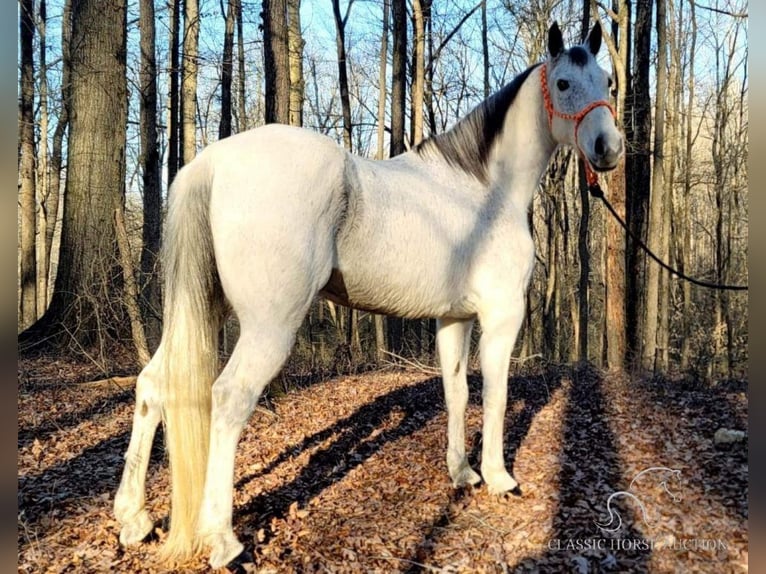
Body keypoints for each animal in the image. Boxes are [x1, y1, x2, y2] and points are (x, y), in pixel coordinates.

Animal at [117, 20, 628, 568]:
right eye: (563, 83)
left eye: (607, 82)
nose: (608, 148)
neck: (484, 191)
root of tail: (212, 162)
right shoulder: (500, 316)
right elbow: (495, 392)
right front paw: (498, 477)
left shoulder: (454, 319)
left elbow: (456, 391)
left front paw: (462, 472)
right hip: (268, 327)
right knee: (229, 398)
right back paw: (223, 540)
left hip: (203, 310)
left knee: (152, 385)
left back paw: (133, 518)